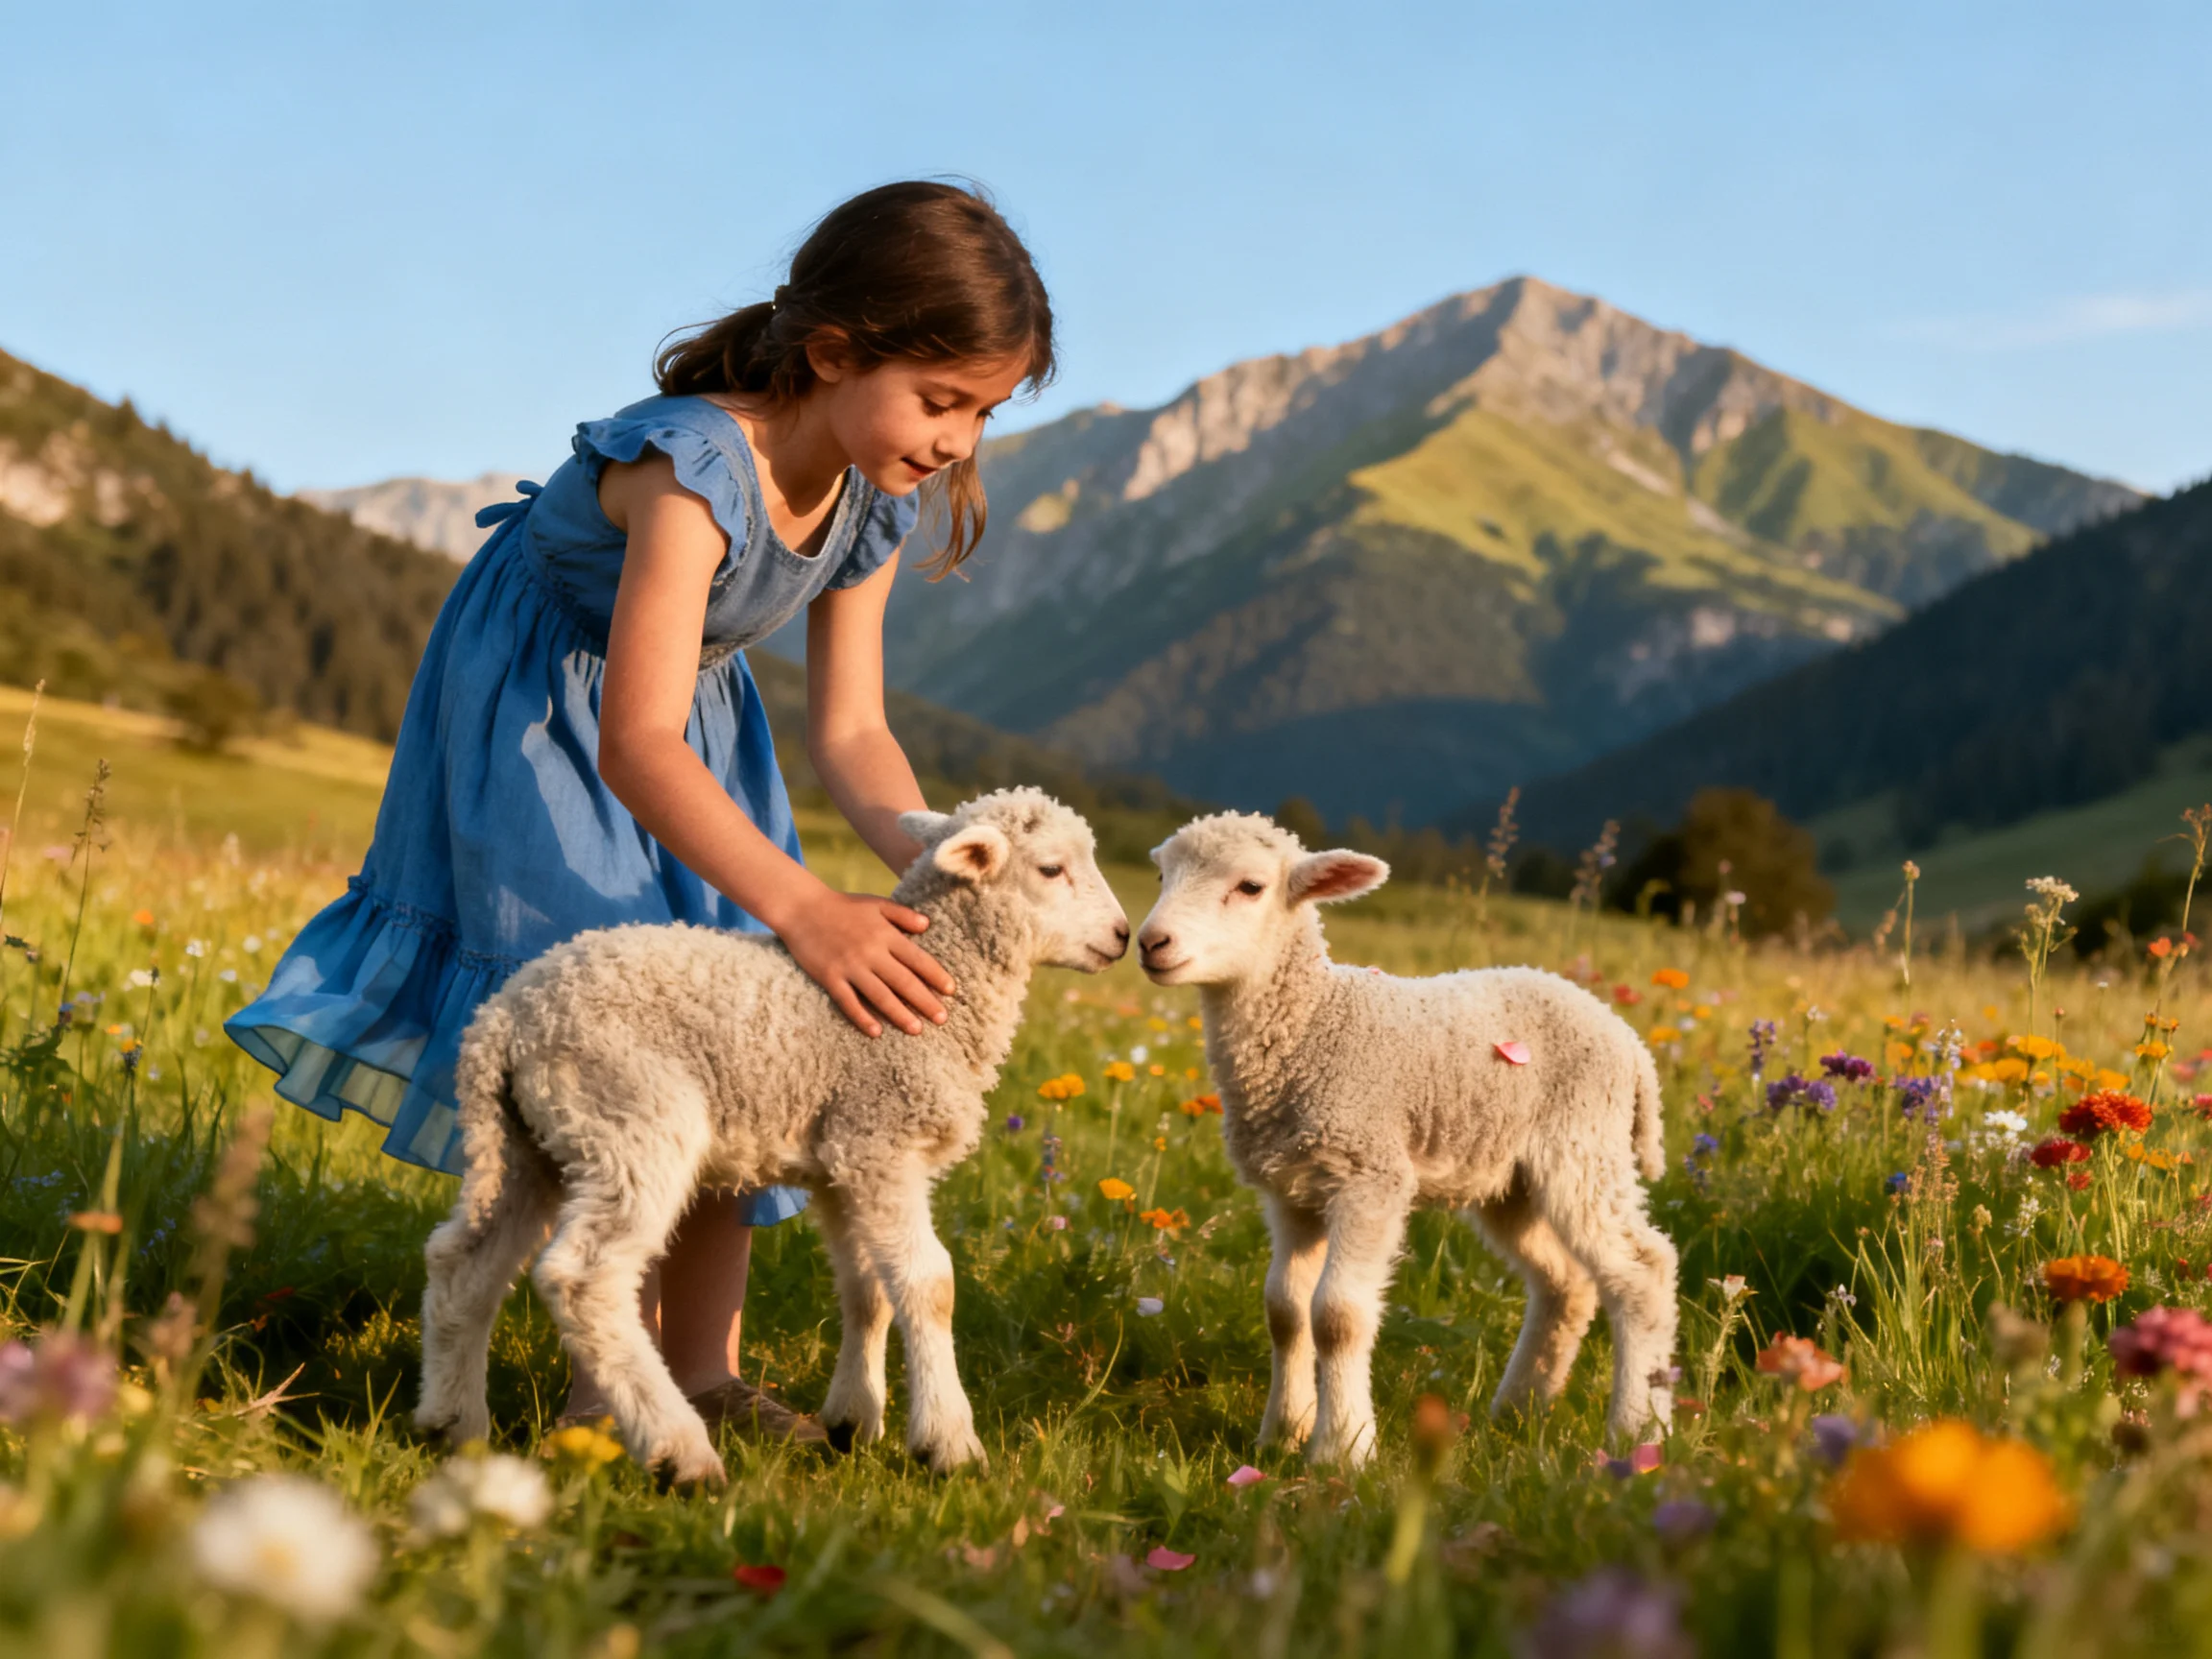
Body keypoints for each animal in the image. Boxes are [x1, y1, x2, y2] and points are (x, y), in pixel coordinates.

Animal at [413, 789, 1130, 1486]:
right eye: (1051, 869)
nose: (1123, 936)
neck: (944, 983)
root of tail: (505, 1018)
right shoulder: (882, 1139)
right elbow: (929, 1285)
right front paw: (948, 1444)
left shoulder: (845, 1159)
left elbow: (868, 1288)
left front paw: (852, 1420)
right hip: (633, 1121)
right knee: (583, 1281)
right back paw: (681, 1454)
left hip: (531, 1145)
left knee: (463, 1261)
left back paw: (452, 1426)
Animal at [1135, 812, 1676, 1467]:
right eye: (1162, 876)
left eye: (1251, 887)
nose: (1150, 942)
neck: (1312, 1024)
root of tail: (1631, 1044)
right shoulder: (1291, 1189)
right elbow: (1284, 1310)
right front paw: (1283, 1432)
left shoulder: (1370, 1175)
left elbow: (1336, 1315)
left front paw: (1342, 1449)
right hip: (1512, 1182)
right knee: (1564, 1283)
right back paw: (1518, 1410)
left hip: (1583, 1146)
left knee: (1644, 1271)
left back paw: (1638, 1430)